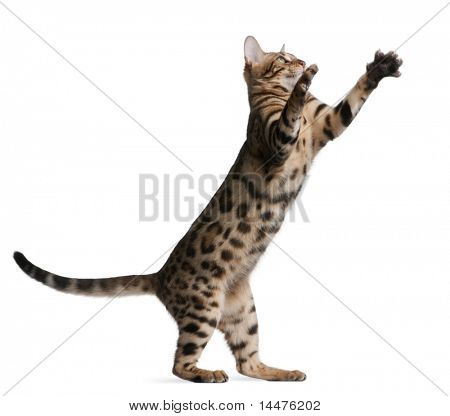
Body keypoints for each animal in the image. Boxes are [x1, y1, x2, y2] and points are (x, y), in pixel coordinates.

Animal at [14, 36, 402, 384]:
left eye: (293, 54)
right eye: (283, 58)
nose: (302, 60)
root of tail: (160, 275)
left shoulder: (329, 122)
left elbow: (354, 96)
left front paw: (379, 69)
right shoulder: (279, 140)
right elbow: (291, 109)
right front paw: (305, 80)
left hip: (243, 312)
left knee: (247, 362)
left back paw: (281, 372)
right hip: (204, 309)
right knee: (180, 363)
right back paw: (206, 373)